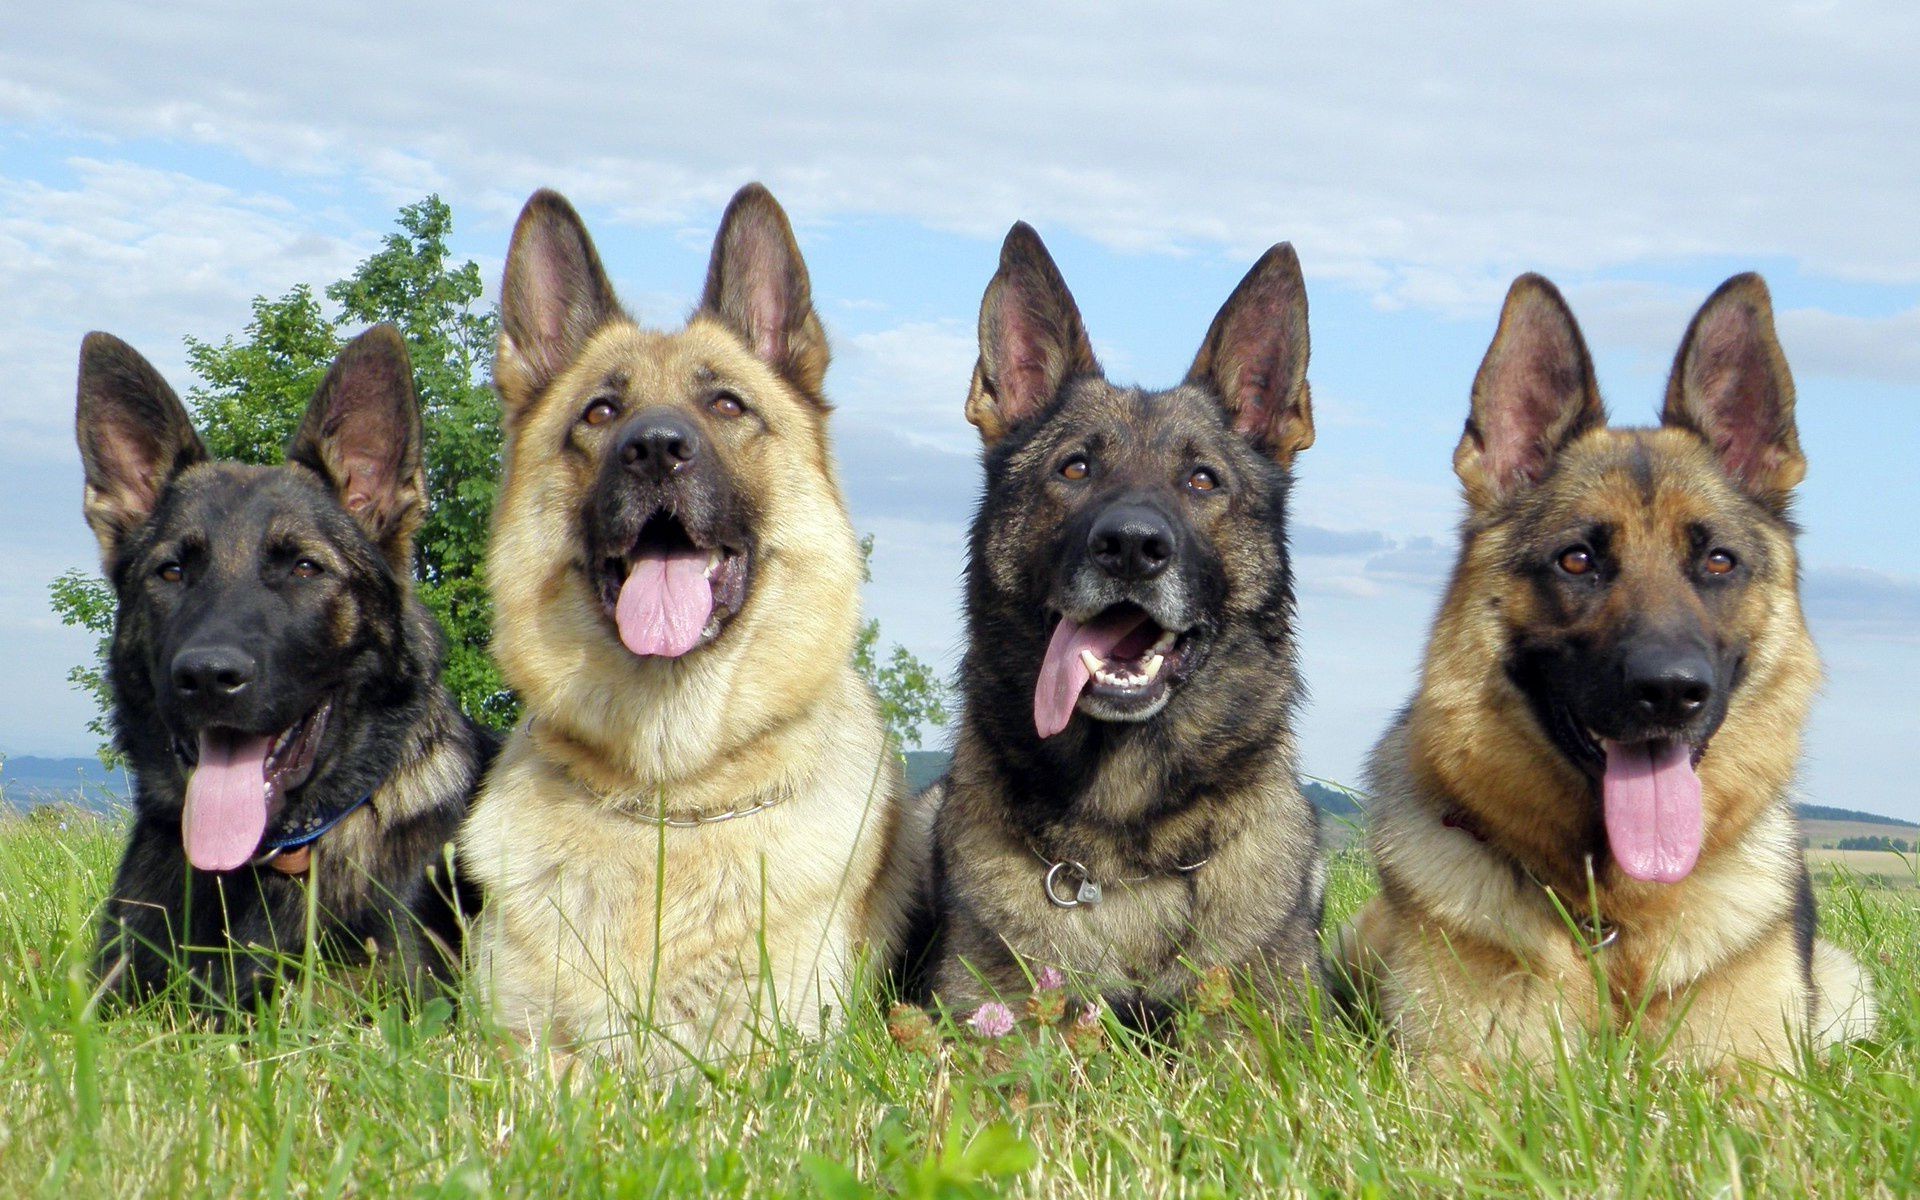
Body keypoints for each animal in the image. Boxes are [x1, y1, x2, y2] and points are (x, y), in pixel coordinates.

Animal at [460, 185, 917, 1067]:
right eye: (602, 411)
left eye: (727, 404)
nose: (656, 450)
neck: (673, 798)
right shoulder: (508, 1049)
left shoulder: (777, 1057)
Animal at [1336, 270, 1873, 1067]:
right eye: (1577, 560)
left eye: (1718, 561)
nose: (1670, 692)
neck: (1611, 922)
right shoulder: (1461, 1071)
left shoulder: (1753, 1074)